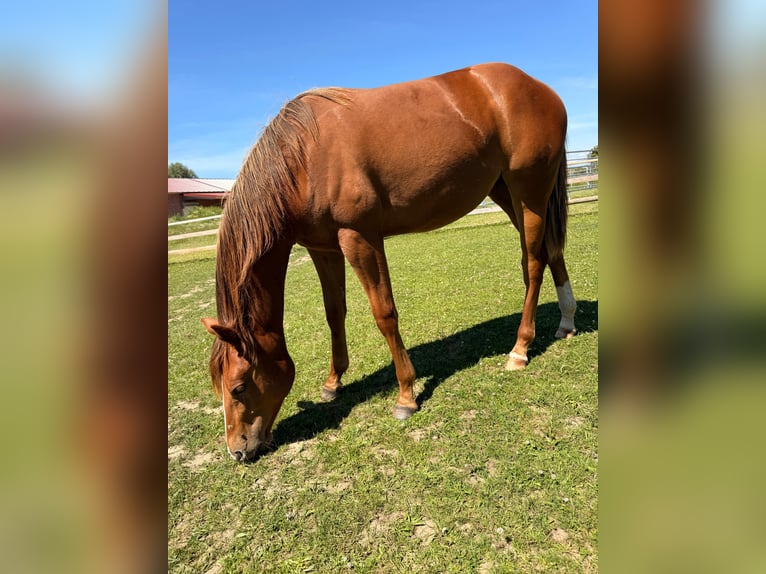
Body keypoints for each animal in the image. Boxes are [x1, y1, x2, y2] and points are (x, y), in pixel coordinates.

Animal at [201, 63, 577, 462]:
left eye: (239, 387)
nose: (237, 452)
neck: (302, 159)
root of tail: (538, 87)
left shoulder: (359, 238)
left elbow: (384, 314)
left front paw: (406, 396)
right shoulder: (324, 248)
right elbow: (334, 312)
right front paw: (333, 382)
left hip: (529, 191)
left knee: (533, 263)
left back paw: (520, 350)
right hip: (507, 191)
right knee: (551, 252)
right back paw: (567, 322)